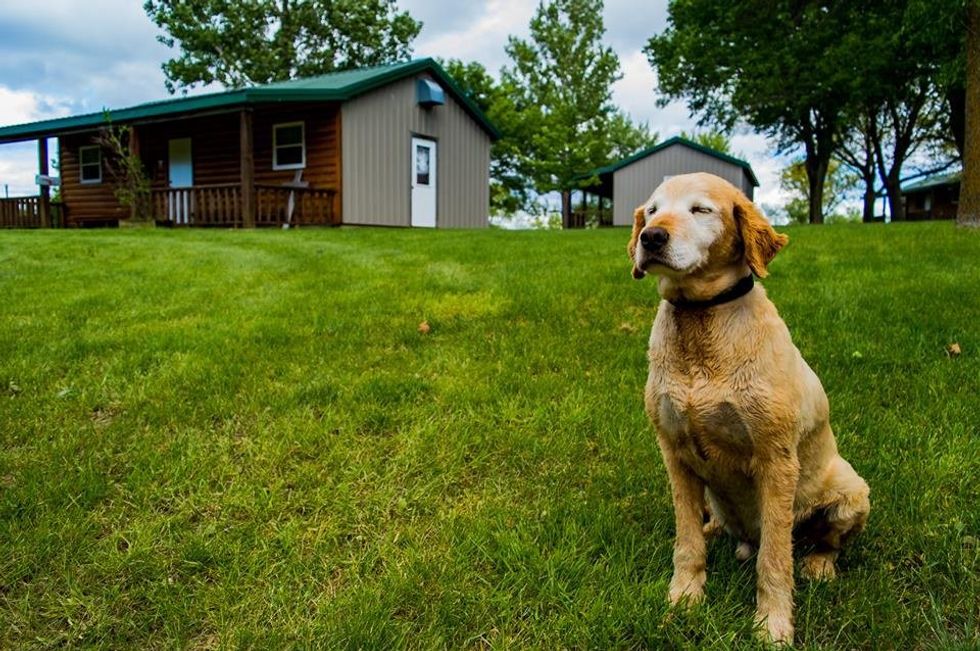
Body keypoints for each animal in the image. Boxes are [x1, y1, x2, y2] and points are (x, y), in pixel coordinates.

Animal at [632, 174, 868, 648]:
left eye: (701, 210)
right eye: (651, 210)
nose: (651, 238)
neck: (700, 326)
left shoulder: (776, 461)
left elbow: (775, 559)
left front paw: (771, 625)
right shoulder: (674, 452)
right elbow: (686, 540)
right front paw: (683, 597)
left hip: (853, 491)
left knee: (824, 542)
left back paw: (819, 563)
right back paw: (715, 529)